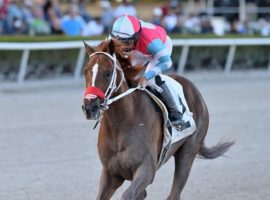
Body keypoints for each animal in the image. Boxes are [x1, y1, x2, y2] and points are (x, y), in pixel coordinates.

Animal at [82, 39, 234, 200]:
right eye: (86, 71)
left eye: (108, 73)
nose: (90, 107)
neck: (121, 125)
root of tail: (195, 91)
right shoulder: (111, 173)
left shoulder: (146, 169)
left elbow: (128, 195)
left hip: (188, 152)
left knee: (175, 192)